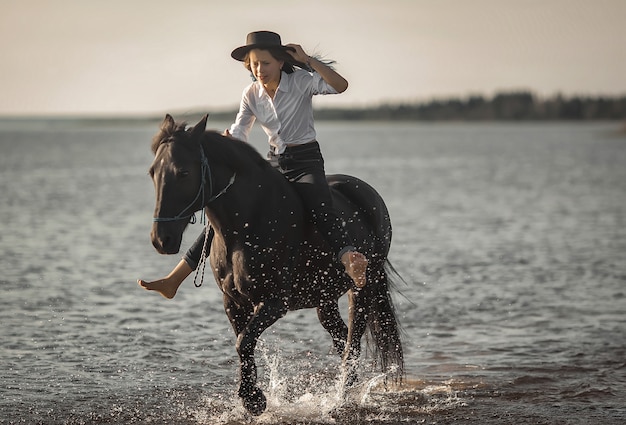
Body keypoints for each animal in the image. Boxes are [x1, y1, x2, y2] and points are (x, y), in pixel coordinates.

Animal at [149, 114, 402, 412]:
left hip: (362, 289)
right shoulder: (233, 302)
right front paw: (252, 395)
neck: (249, 221)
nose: (161, 239)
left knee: (352, 345)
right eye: (153, 172)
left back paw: (339, 400)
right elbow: (243, 344)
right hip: (324, 298)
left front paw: (253, 399)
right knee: (341, 340)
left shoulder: (274, 303)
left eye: (184, 173)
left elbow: (243, 342)